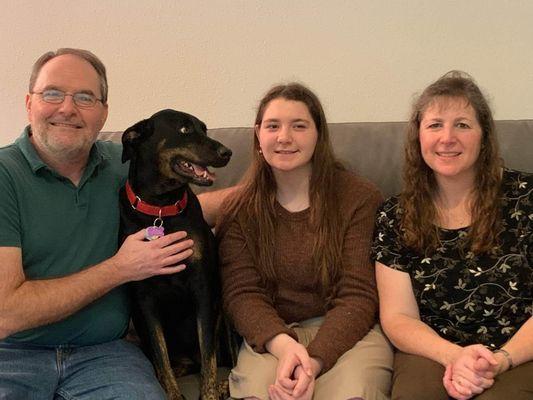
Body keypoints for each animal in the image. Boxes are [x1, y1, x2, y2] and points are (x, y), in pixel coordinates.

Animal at [118, 108, 231, 400]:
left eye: (204, 128)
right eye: (184, 129)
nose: (227, 152)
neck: (161, 208)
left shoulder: (202, 288)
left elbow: (208, 354)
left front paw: (209, 393)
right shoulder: (145, 300)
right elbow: (161, 355)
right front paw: (172, 392)